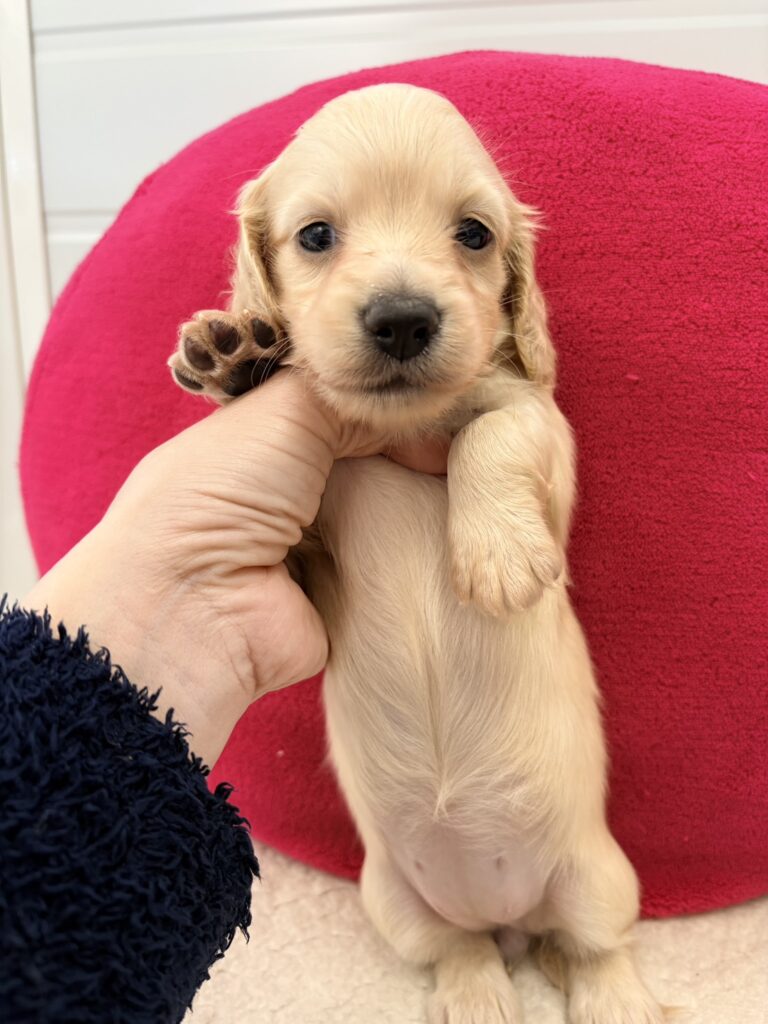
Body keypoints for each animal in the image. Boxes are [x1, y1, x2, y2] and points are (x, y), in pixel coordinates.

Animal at [169, 84, 665, 1024]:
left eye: (473, 233)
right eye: (315, 235)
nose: (402, 321)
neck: (398, 431)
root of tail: (509, 916)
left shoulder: (547, 439)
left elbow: (496, 432)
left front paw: (498, 555)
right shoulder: (302, 553)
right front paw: (235, 363)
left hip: (601, 878)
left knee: (597, 951)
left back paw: (615, 1001)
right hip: (392, 901)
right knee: (459, 951)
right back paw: (477, 997)